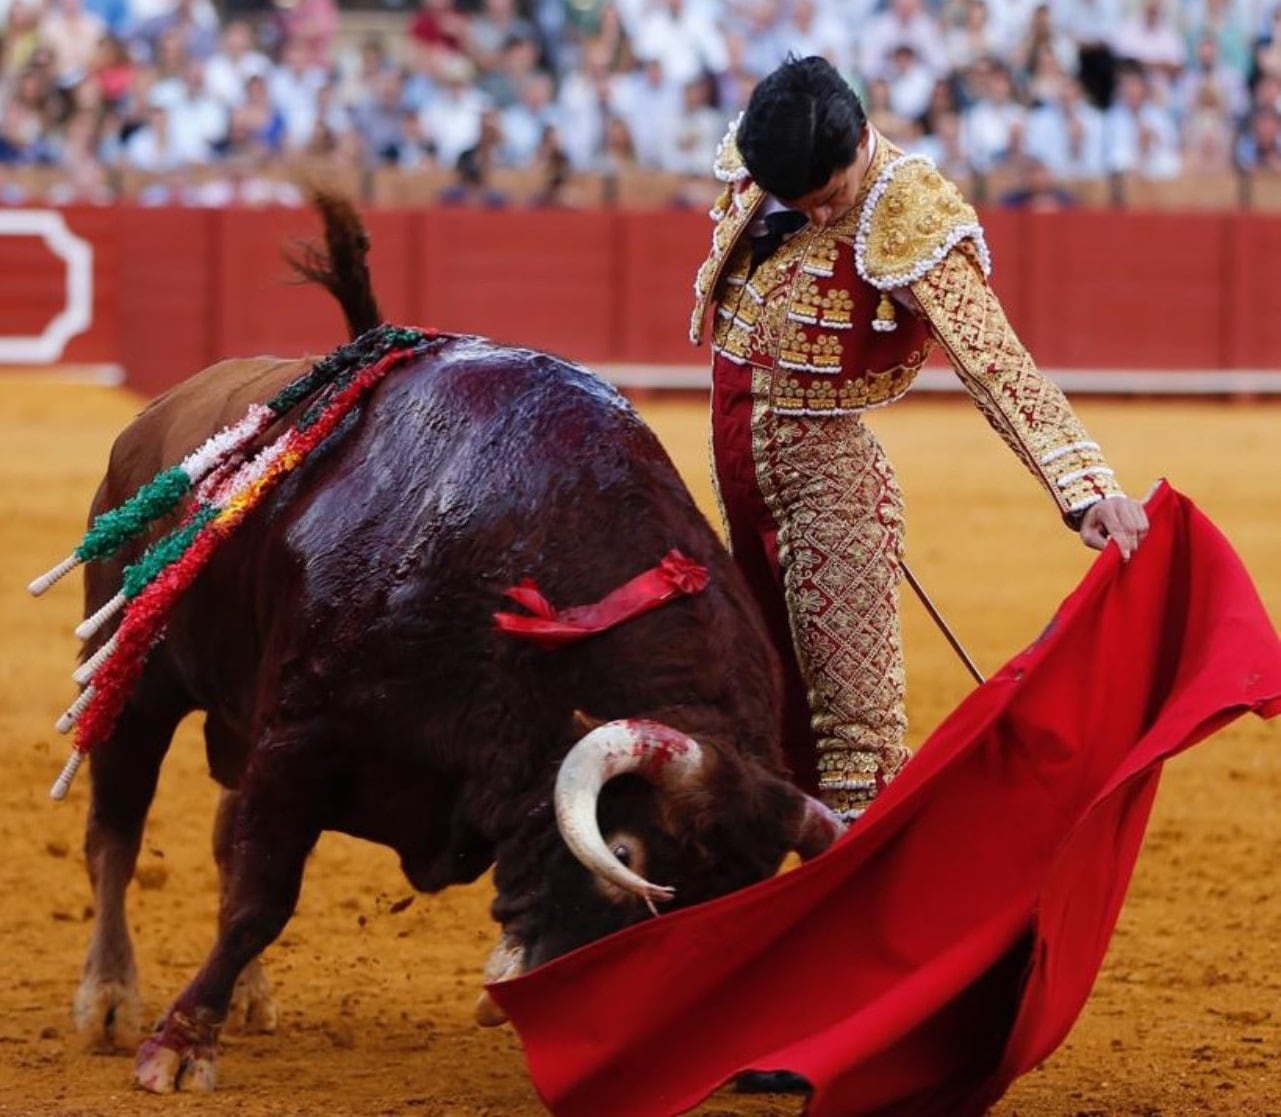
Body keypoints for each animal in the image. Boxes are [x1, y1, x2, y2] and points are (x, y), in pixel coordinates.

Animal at [47, 192, 840, 1091]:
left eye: (727, 904)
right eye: (625, 850)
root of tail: (154, 418)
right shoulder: (299, 741)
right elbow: (261, 898)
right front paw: (178, 1046)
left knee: (214, 833)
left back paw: (247, 998)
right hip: (136, 684)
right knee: (116, 832)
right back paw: (109, 1000)